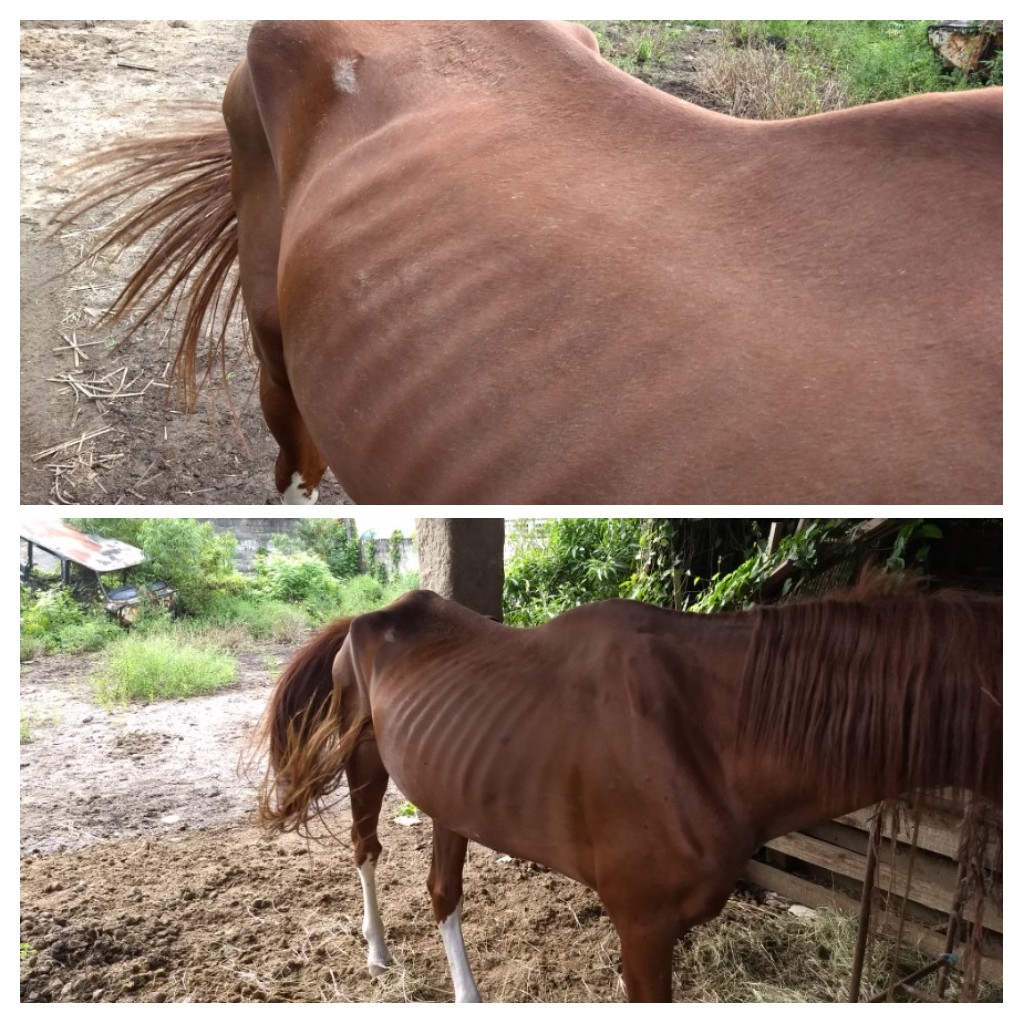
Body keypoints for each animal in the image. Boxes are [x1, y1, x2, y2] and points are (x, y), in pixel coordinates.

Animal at [256, 587, 1001, 1001]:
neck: (707, 727)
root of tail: (370, 615)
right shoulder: (643, 927)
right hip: (366, 764)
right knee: (366, 850)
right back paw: (378, 954)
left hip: (450, 793)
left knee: (443, 891)